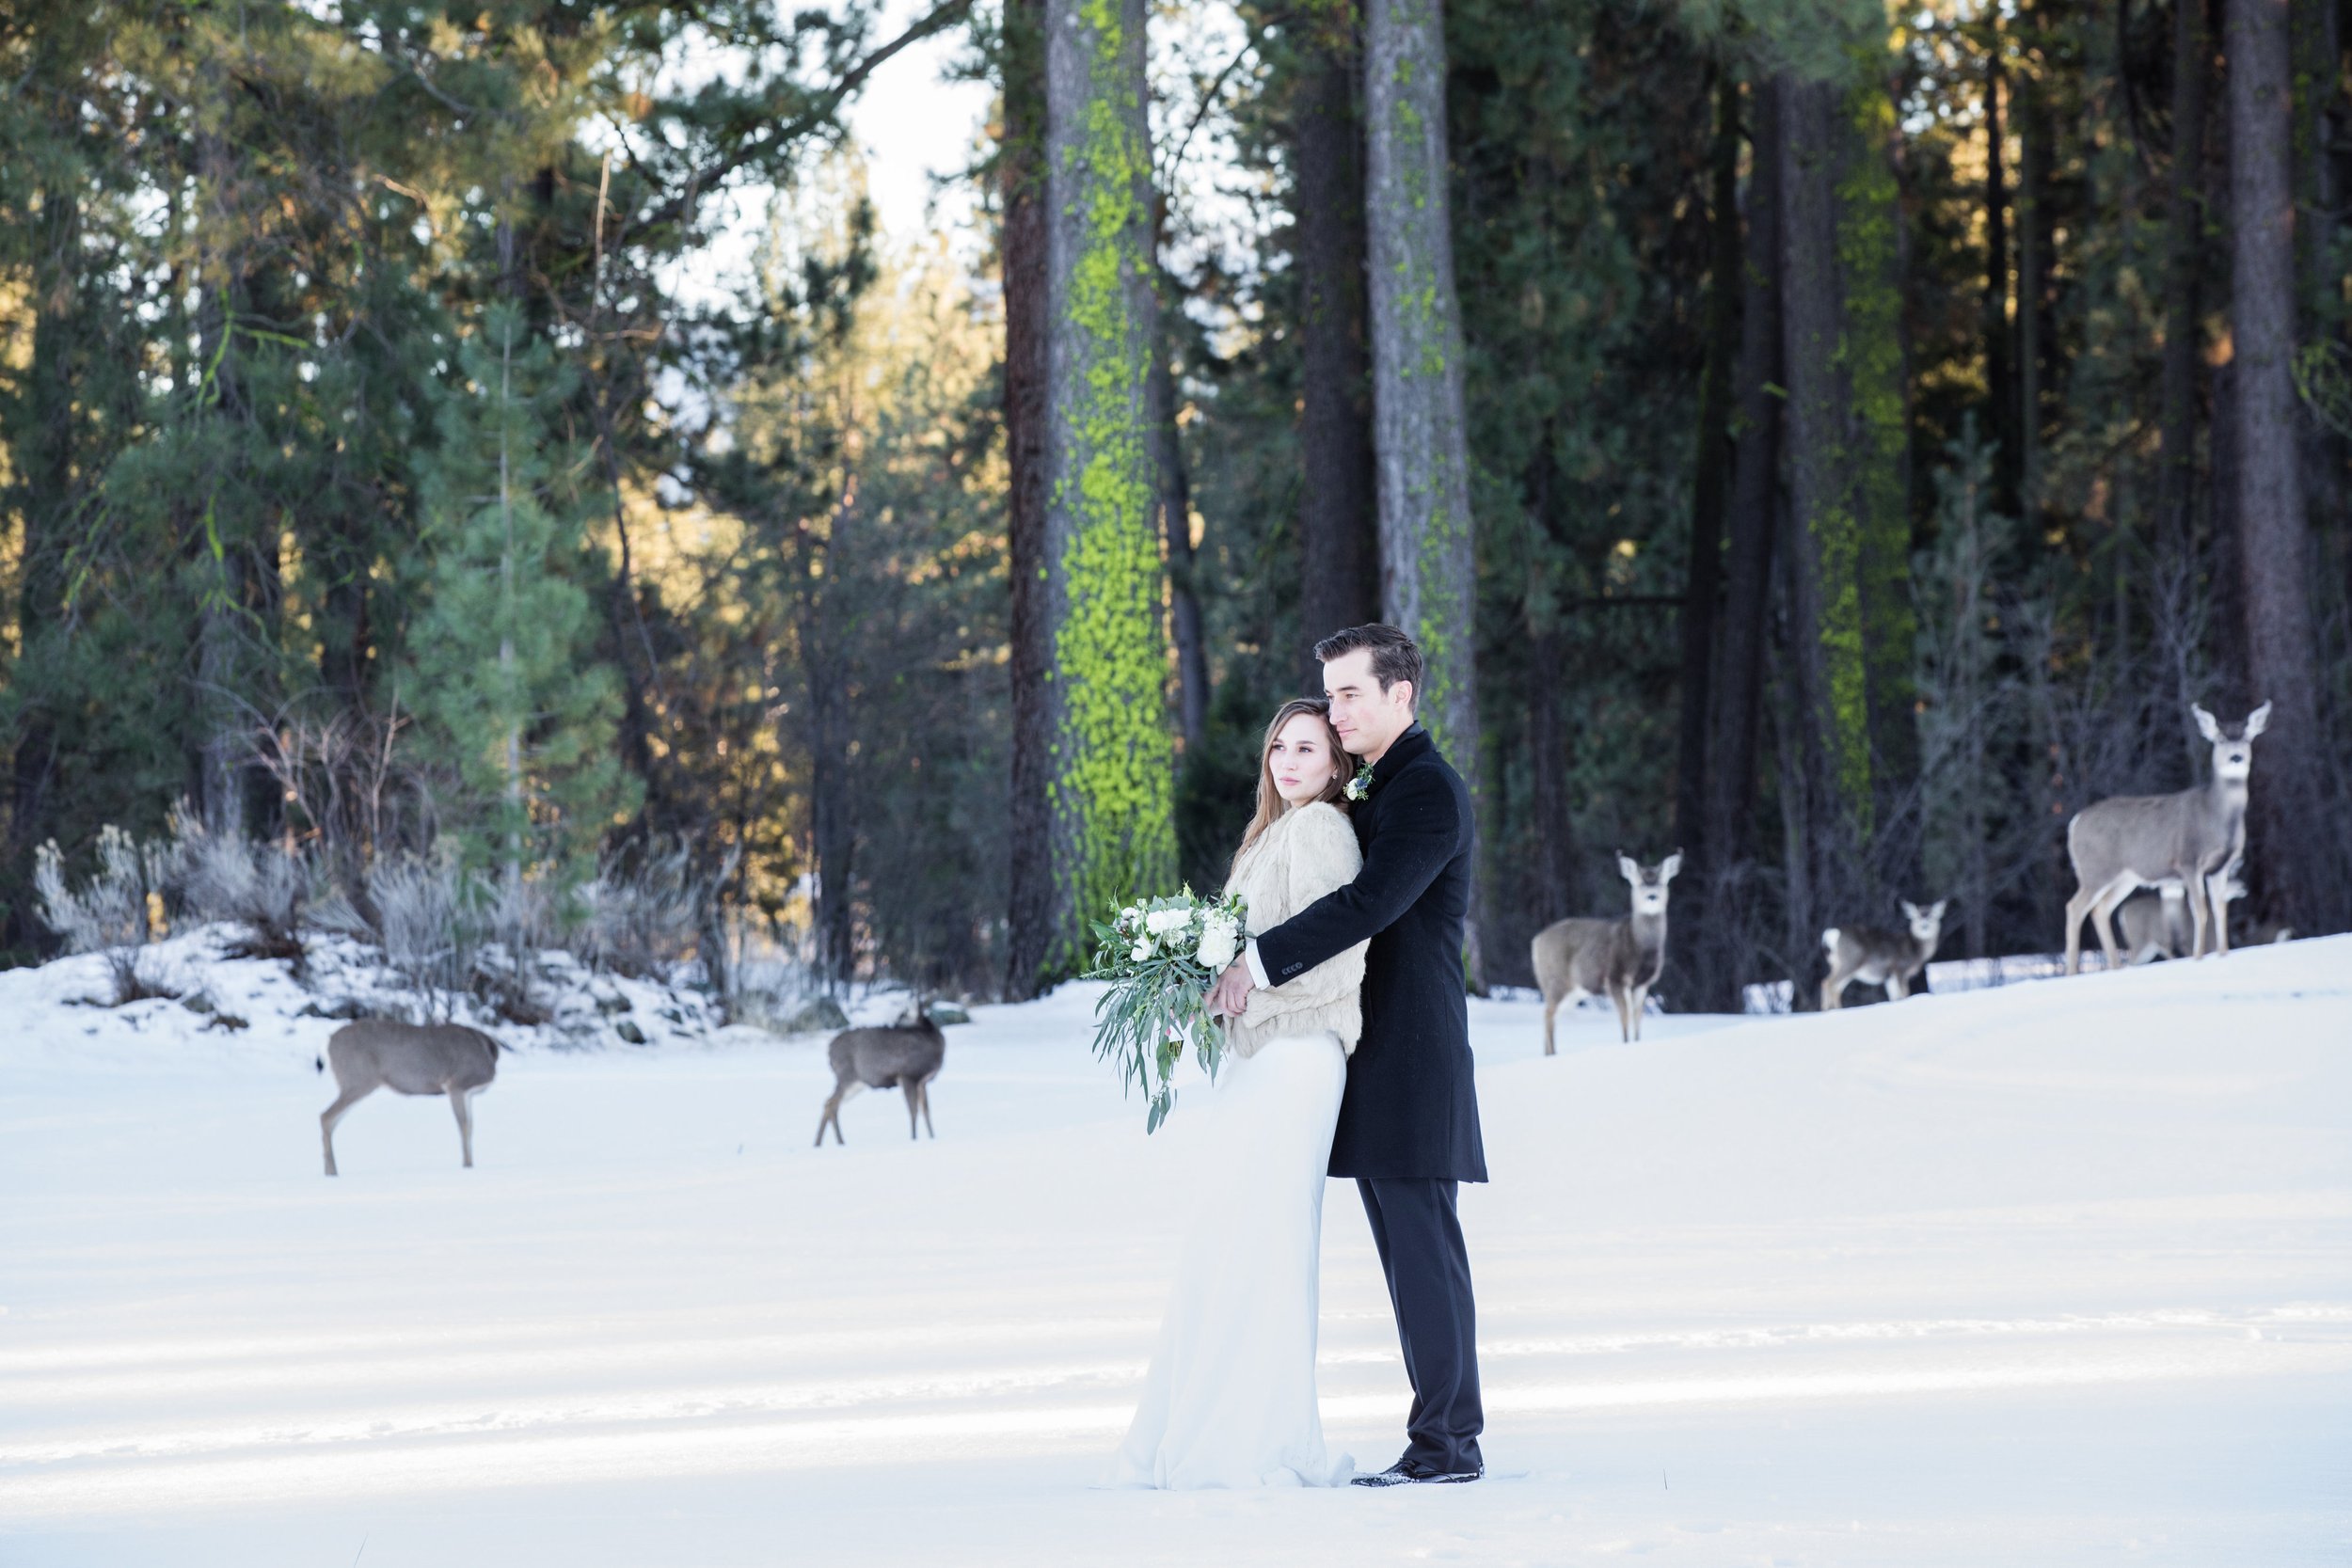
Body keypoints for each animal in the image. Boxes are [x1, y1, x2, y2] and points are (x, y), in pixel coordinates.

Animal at [315, 1020, 499, 1175]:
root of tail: (328, 1043)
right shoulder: (456, 1085)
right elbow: (464, 1126)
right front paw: (467, 1166)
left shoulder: (468, 1093)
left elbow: (471, 1127)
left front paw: (470, 1165)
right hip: (358, 1080)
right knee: (326, 1116)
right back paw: (333, 1172)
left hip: (354, 1083)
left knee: (331, 1120)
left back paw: (328, 1172)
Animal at [818, 1010, 946, 1147]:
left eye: (903, 1014)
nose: (894, 1023)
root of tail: (829, 1049)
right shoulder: (908, 1076)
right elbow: (914, 1111)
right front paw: (914, 1139)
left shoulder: (922, 1082)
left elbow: (926, 1111)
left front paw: (932, 1137)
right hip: (847, 1076)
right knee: (831, 1103)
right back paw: (836, 1142)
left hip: (856, 1083)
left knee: (829, 1102)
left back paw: (821, 1143)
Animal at [1534, 860, 1684, 1053]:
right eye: (1639, 882)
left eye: (1662, 882)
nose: (1652, 896)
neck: (1639, 946)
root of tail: (1536, 941)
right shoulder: (1615, 978)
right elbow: (1625, 1017)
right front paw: (1626, 1044)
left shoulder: (1642, 984)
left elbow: (1637, 1018)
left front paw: (1637, 1042)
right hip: (1556, 980)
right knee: (1548, 1014)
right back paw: (1553, 1053)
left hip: (1572, 990)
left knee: (1551, 1014)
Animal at [1816, 902, 1947, 1010]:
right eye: (1917, 916)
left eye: (1932, 916)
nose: (1924, 925)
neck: (1915, 949)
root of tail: (1831, 933)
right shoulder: (1900, 969)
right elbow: (1904, 993)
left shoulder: (1889, 976)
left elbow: (1894, 997)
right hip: (1850, 961)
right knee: (1829, 983)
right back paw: (1832, 1010)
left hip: (1839, 964)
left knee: (1834, 986)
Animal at [2070, 700, 2267, 973]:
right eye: (2219, 739)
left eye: (2247, 738)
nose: (2236, 757)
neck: (2214, 817)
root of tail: (2075, 823)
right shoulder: (2188, 861)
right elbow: (2201, 910)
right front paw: (2198, 958)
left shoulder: (2220, 866)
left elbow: (2220, 911)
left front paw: (2224, 955)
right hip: (2096, 870)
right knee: (2075, 907)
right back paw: (2072, 971)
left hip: (2125, 877)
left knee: (2100, 909)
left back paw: (2114, 967)